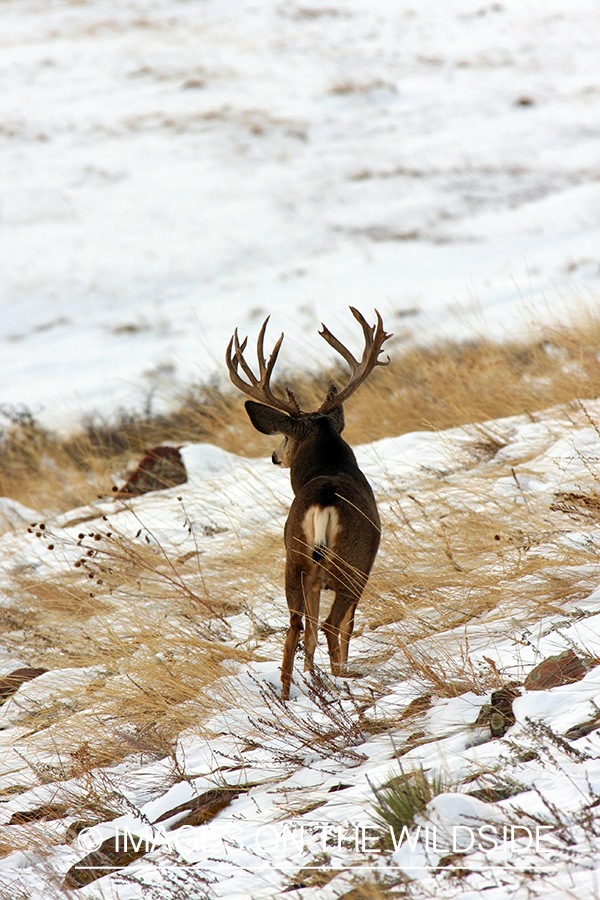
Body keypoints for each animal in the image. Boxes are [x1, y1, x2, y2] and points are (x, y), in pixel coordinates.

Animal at [226, 307, 391, 700]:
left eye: (285, 438)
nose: (275, 456)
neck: (329, 468)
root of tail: (323, 498)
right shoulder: (363, 564)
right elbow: (344, 628)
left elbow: (309, 634)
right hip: (351, 563)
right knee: (332, 626)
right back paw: (341, 680)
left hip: (295, 560)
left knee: (297, 626)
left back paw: (290, 694)